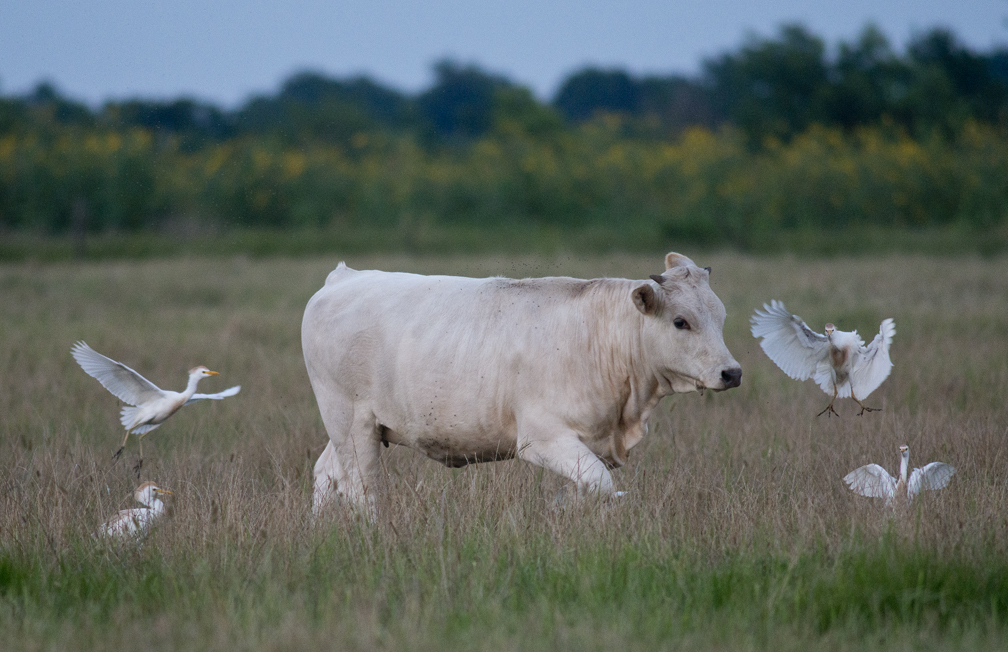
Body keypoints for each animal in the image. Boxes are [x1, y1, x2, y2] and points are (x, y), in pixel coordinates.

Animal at [302, 252, 741, 515]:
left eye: (721, 316)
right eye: (681, 321)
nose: (732, 372)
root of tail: (343, 276)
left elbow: (585, 487)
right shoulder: (543, 439)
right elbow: (600, 482)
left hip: (356, 428)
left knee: (326, 472)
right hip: (350, 422)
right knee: (361, 490)